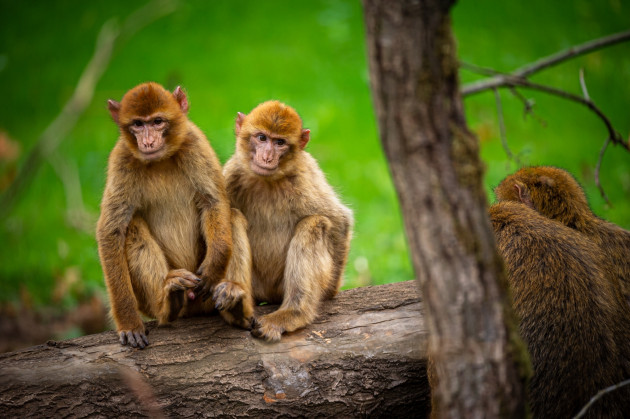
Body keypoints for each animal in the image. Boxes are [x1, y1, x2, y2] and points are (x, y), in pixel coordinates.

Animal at [222, 101, 354, 342]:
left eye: (280, 143)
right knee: (232, 215)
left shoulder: (305, 175)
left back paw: (293, 313)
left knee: (314, 223)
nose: (267, 157)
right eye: (262, 138)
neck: (267, 181)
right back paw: (237, 304)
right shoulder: (232, 173)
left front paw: (330, 291)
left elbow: (340, 221)